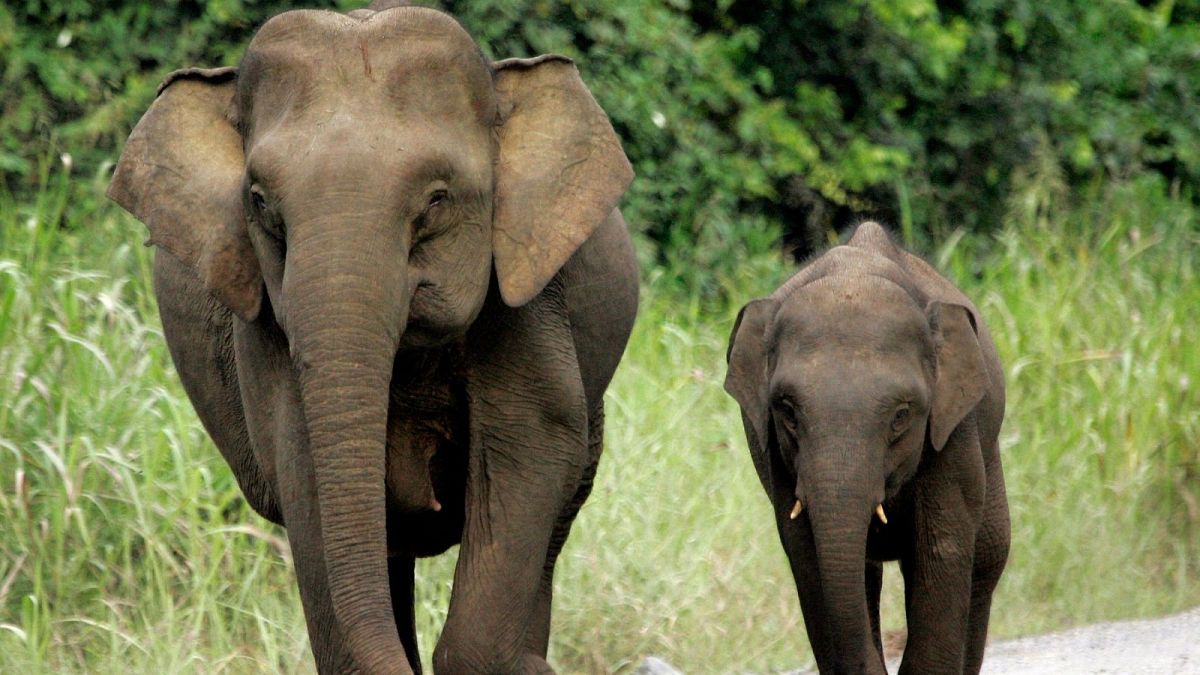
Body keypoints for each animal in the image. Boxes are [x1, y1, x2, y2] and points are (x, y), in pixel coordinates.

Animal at [109, 2, 643, 667]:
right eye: (260, 203)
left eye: (437, 202)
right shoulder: (264, 325)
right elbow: (304, 467)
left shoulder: (529, 297)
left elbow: (531, 443)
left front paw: (515, 661)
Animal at [720, 222, 1012, 672]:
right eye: (786, 409)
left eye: (901, 415)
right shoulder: (777, 457)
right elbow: (808, 557)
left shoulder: (954, 431)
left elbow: (942, 551)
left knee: (988, 558)